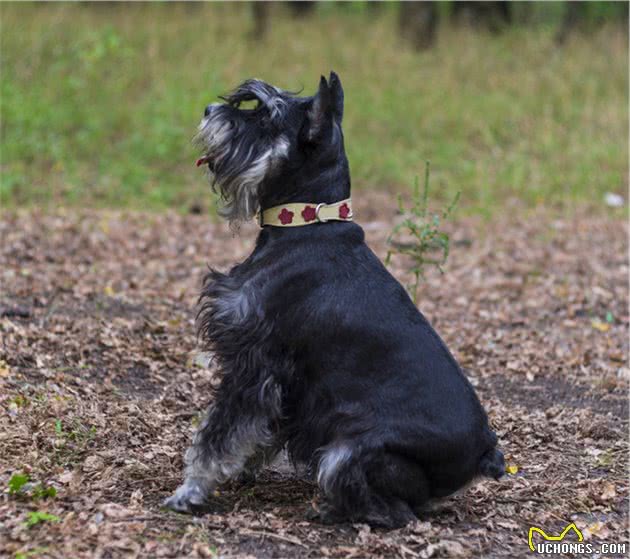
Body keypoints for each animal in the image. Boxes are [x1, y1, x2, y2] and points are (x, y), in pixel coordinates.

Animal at [165, 72, 506, 528]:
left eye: (265, 115)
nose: (207, 110)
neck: (308, 226)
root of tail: (484, 453)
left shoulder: (254, 363)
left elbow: (219, 432)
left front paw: (191, 490)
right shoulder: (284, 385)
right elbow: (260, 431)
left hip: (348, 451)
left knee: (396, 511)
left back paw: (330, 508)